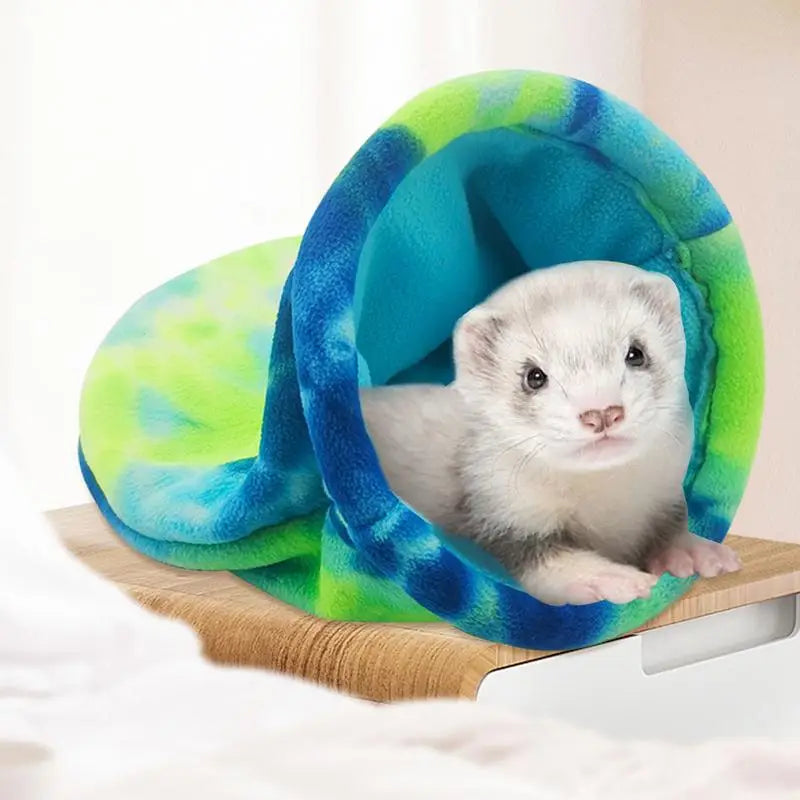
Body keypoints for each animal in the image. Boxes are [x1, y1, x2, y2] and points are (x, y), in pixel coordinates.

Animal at [360, 261, 740, 605]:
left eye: (636, 352)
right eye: (534, 376)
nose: (601, 412)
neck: (608, 506)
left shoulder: (666, 492)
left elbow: (671, 526)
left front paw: (694, 552)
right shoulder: (502, 512)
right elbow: (540, 558)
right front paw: (608, 577)